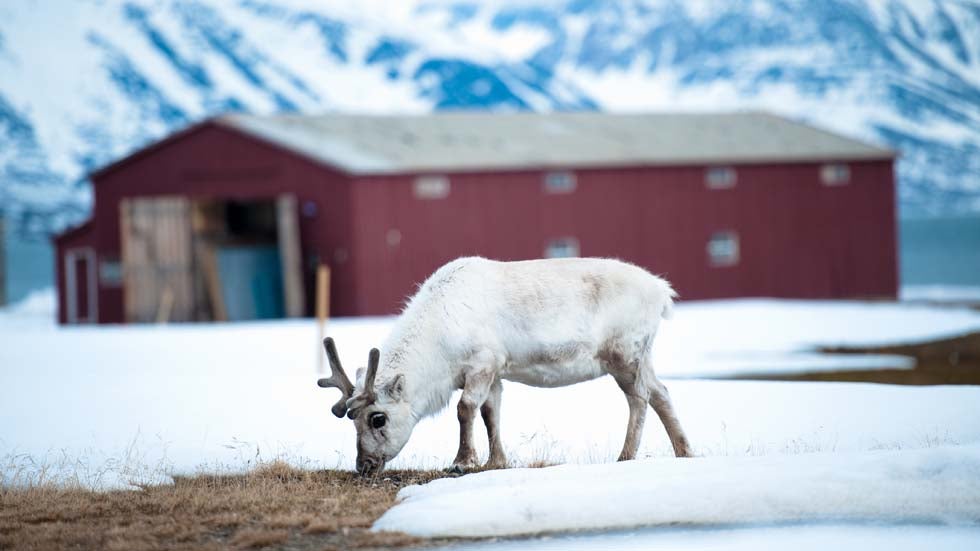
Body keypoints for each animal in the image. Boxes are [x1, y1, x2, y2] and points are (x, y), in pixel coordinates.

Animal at [317, 256, 692, 476]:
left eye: (377, 418)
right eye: (351, 421)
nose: (363, 466)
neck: (437, 348)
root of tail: (663, 291)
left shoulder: (482, 363)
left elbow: (466, 409)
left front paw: (461, 461)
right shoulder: (495, 373)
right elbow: (491, 414)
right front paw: (496, 461)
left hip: (623, 355)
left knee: (640, 398)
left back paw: (625, 456)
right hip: (641, 357)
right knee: (662, 391)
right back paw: (685, 451)